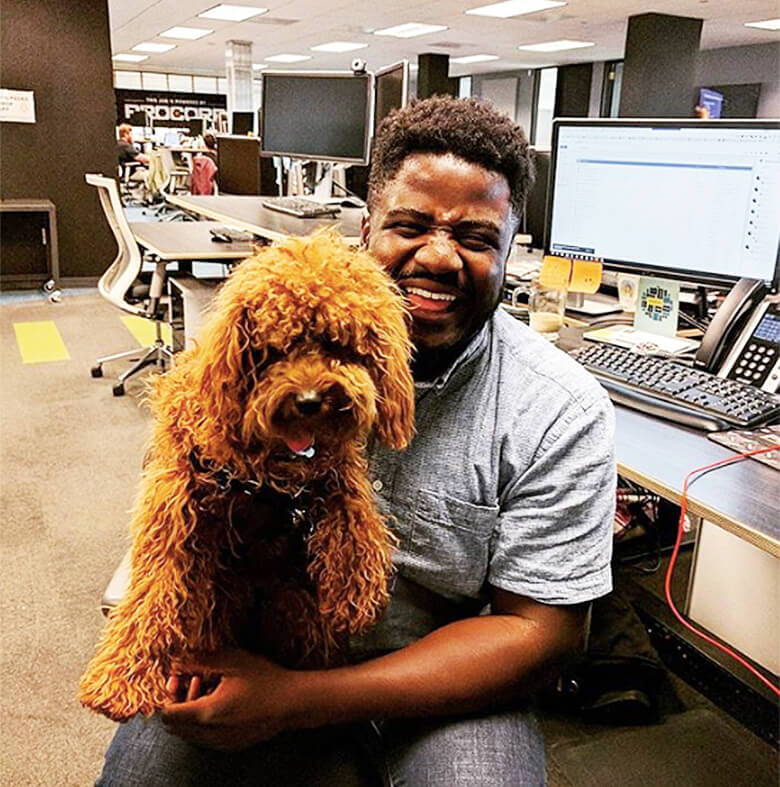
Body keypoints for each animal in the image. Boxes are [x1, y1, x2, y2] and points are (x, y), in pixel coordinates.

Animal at [80, 226, 414, 720]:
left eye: (337, 345)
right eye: (275, 350)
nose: (310, 400)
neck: (267, 461)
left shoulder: (332, 468)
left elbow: (353, 511)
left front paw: (355, 586)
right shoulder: (175, 498)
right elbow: (154, 583)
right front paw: (123, 674)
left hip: (289, 603)